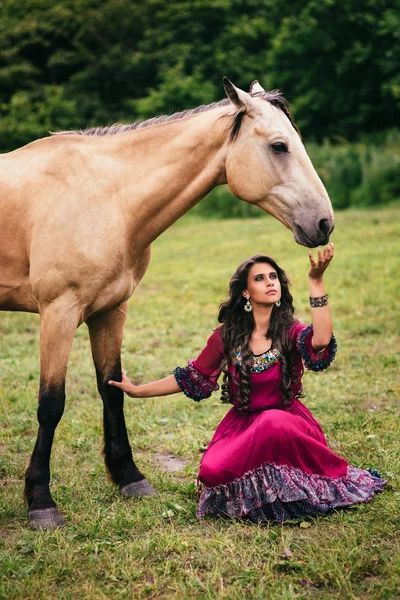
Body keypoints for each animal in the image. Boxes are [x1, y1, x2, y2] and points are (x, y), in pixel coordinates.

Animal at [0, 77, 334, 528]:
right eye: (279, 146)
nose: (324, 222)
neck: (105, 198)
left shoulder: (109, 312)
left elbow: (112, 390)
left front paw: (129, 478)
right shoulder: (59, 313)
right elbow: (51, 404)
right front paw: (40, 501)